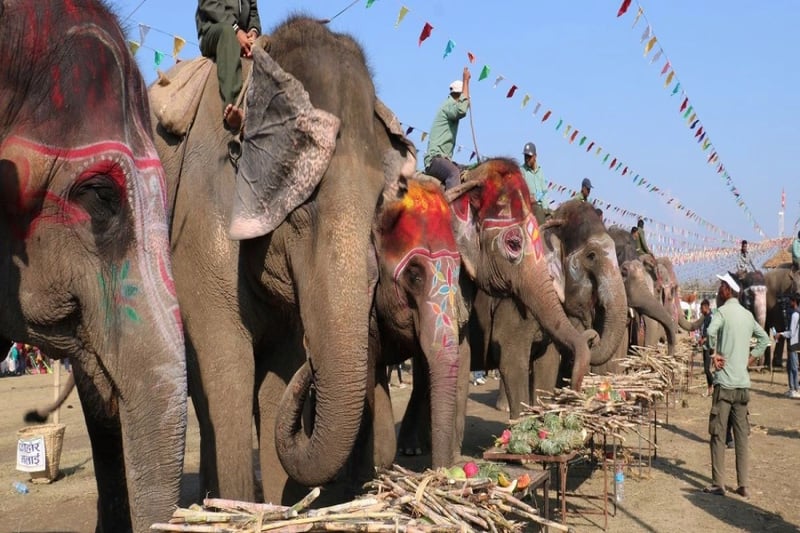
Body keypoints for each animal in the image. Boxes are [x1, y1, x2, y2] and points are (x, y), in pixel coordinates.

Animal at [153, 17, 416, 504]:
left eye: (379, 204)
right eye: (300, 208)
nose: (312, 370)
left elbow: (277, 374)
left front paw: (279, 507)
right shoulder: (199, 222)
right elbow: (228, 368)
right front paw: (239, 507)